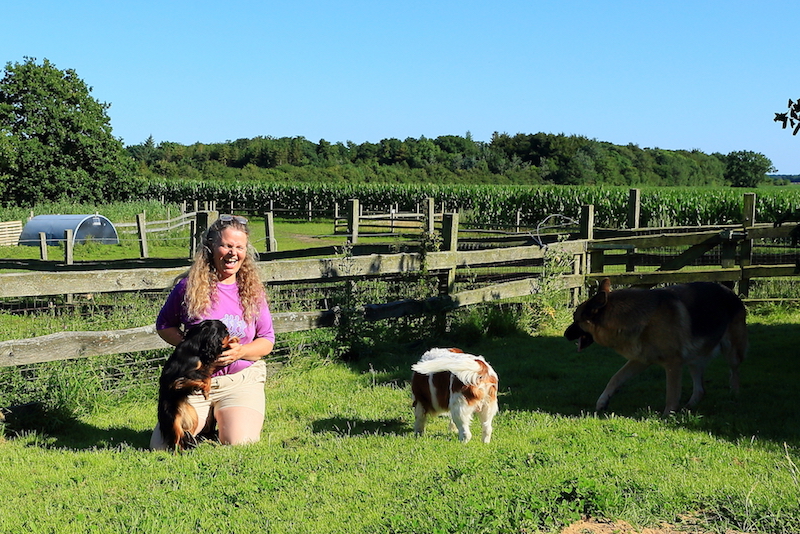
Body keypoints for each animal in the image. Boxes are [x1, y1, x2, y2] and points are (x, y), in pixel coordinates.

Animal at [157, 322, 238, 452]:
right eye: (225, 331)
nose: (229, 332)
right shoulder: (183, 374)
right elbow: (202, 378)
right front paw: (204, 390)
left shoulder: (207, 363)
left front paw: (234, 341)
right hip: (173, 421)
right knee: (176, 441)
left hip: (193, 419)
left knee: (186, 436)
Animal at [564, 278, 748, 416]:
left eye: (575, 319)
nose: (565, 334)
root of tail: (730, 291)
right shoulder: (640, 360)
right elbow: (616, 377)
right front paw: (603, 401)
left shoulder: (673, 364)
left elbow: (671, 393)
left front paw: (668, 415)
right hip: (694, 360)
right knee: (700, 389)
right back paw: (688, 407)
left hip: (732, 352)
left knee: (734, 373)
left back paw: (735, 396)